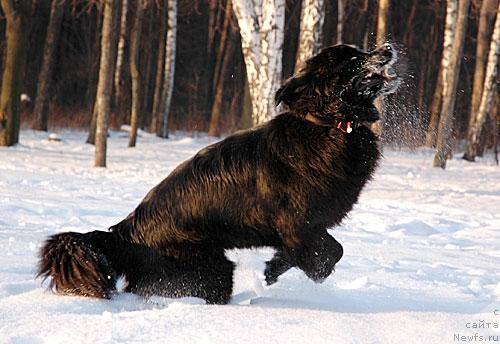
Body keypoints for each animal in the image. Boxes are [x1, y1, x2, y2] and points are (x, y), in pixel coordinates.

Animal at [37, 43, 400, 304]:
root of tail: (124, 232)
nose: (388, 48)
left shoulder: (306, 228)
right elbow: (329, 254)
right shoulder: (298, 224)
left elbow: (320, 251)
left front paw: (273, 268)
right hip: (209, 269)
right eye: (353, 58)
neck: (328, 123)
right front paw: (283, 274)